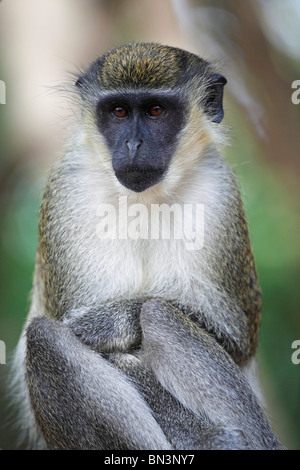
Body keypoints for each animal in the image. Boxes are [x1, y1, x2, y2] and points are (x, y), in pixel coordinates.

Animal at [11, 42, 282, 450]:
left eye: (156, 110)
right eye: (118, 111)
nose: (133, 144)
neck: (145, 200)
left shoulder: (219, 192)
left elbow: (236, 341)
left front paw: (111, 322)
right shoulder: (66, 192)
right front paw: (205, 438)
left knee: (157, 314)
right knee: (45, 339)